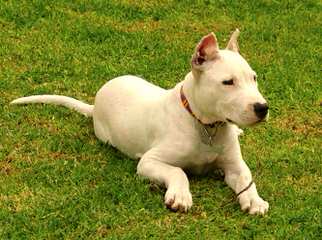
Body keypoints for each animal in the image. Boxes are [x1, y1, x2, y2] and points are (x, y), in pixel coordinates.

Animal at [11, 29, 270, 214]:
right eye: (228, 82)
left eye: (254, 78)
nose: (263, 108)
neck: (204, 124)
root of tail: (97, 102)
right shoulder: (149, 162)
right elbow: (178, 171)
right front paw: (180, 195)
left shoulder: (234, 164)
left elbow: (246, 177)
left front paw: (254, 200)